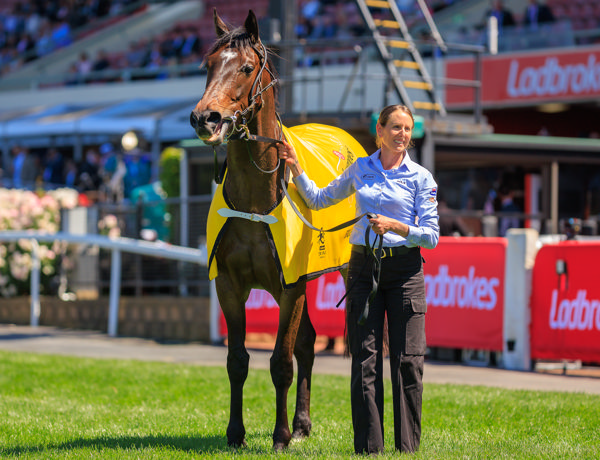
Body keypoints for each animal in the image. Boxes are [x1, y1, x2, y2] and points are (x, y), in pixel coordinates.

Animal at [190, 9, 364, 452]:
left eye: (247, 68)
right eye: (208, 66)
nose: (205, 118)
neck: (256, 201)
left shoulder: (291, 285)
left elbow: (281, 362)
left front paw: (280, 435)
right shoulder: (231, 285)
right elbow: (238, 361)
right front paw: (236, 433)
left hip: (344, 272)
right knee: (308, 343)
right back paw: (303, 423)